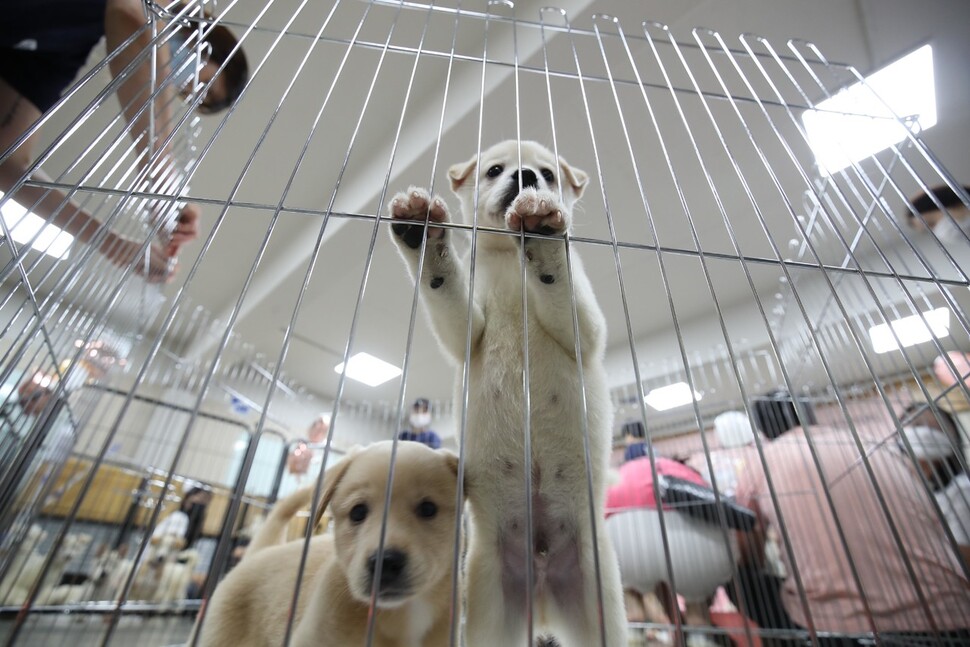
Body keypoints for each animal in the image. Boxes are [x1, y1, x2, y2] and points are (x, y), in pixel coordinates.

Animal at [388, 139, 624, 644]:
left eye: (548, 175)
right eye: (495, 170)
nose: (526, 180)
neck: (512, 267)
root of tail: (543, 586)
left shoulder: (586, 331)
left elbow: (563, 291)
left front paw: (544, 234)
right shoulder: (467, 332)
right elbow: (445, 289)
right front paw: (424, 237)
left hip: (600, 600)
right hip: (489, 600)